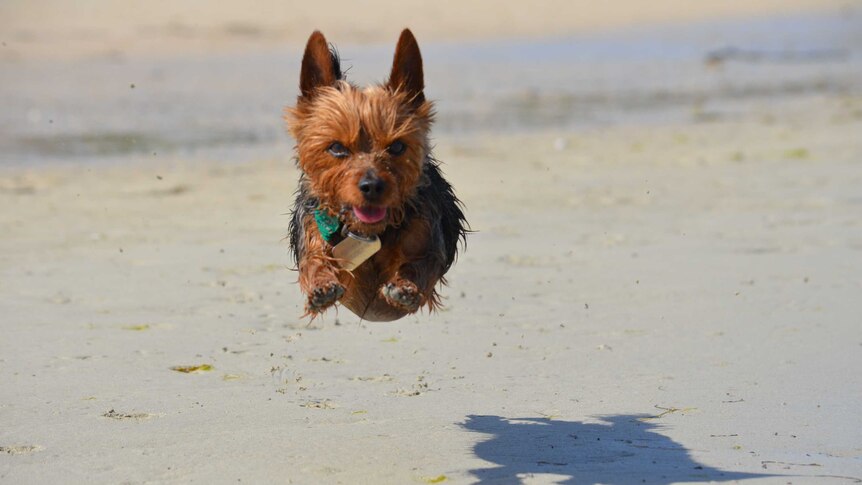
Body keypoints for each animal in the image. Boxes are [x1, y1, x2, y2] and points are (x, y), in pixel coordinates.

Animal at [286, 28, 470, 320]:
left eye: (396, 146)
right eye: (336, 148)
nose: (372, 185)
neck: (368, 232)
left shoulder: (428, 236)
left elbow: (423, 263)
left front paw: (406, 285)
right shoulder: (313, 230)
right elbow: (313, 261)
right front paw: (322, 283)